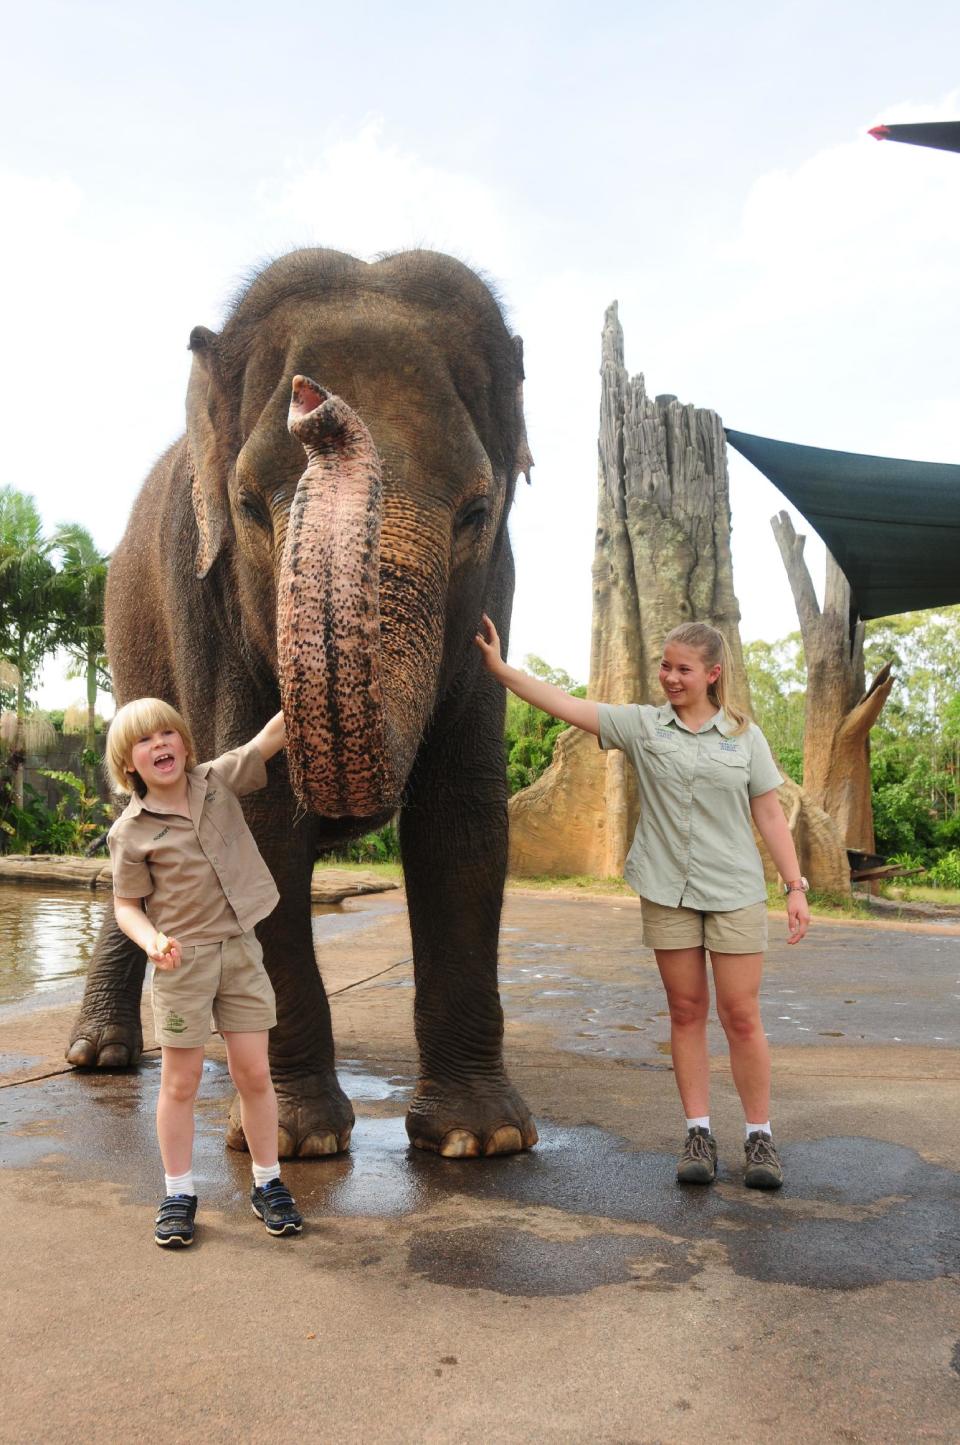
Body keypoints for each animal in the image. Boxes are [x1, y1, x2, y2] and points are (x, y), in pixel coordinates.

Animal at [69, 242, 540, 1156]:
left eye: (477, 509)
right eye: (250, 506)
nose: (315, 405)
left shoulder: (493, 596)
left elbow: (461, 818)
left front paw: (480, 1140)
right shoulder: (202, 589)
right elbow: (259, 827)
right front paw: (292, 1140)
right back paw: (98, 1057)